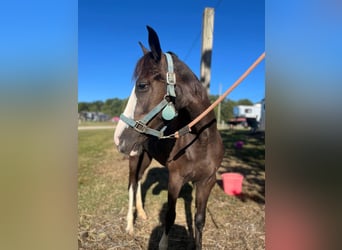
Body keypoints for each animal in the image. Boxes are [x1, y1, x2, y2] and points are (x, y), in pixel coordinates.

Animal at [113, 25, 223, 250]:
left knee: (139, 181)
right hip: (134, 157)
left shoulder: (207, 181)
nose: (118, 138)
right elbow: (170, 217)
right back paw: (130, 225)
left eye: (142, 85)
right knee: (131, 185)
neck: (202, 142)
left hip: (145, 157)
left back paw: (142, 214)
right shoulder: (175, 179)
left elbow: (199, 220)